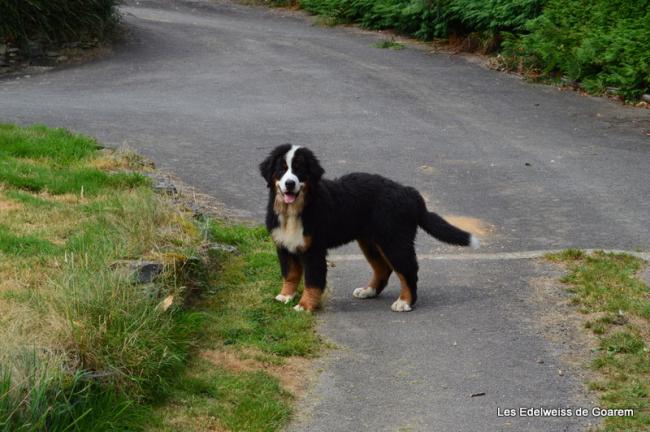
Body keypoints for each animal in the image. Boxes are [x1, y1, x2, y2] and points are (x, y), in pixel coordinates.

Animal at [256, 145, 476, 314]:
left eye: (300, 170)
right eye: (281, 169)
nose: (289, 183)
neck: (295, 210)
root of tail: (409, 192)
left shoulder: (314, 250)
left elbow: (312, 281)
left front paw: (304, 306)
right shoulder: (284, 246)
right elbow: (290, 274)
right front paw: (285, 296)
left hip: (395, 240)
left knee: (408, 270)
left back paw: (404, 302)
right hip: (371, 241)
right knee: (383, 268)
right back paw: (368, 291)